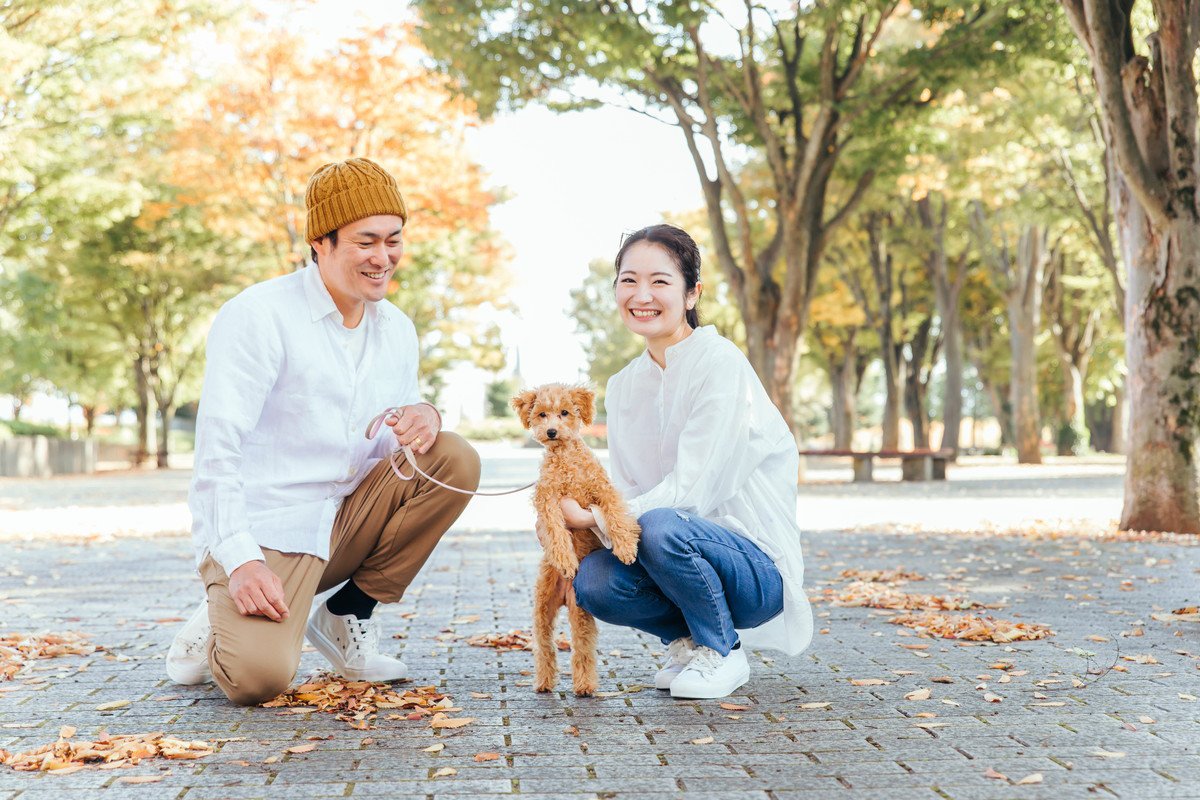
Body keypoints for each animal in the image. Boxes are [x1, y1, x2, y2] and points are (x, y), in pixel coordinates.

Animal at [516, 383, 648, 695]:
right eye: (542, 414)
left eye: (565, 412)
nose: (552, 431)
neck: (566, 458)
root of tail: (565, 594)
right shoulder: (549, 501)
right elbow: (555, 531)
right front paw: (566, 560)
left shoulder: (602, 490)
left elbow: (615, 514)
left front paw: (626, 547)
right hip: (542, 608)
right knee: (545, 647)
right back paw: (544, 682)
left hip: (581, 612)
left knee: (583, 649)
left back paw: (585, 685)